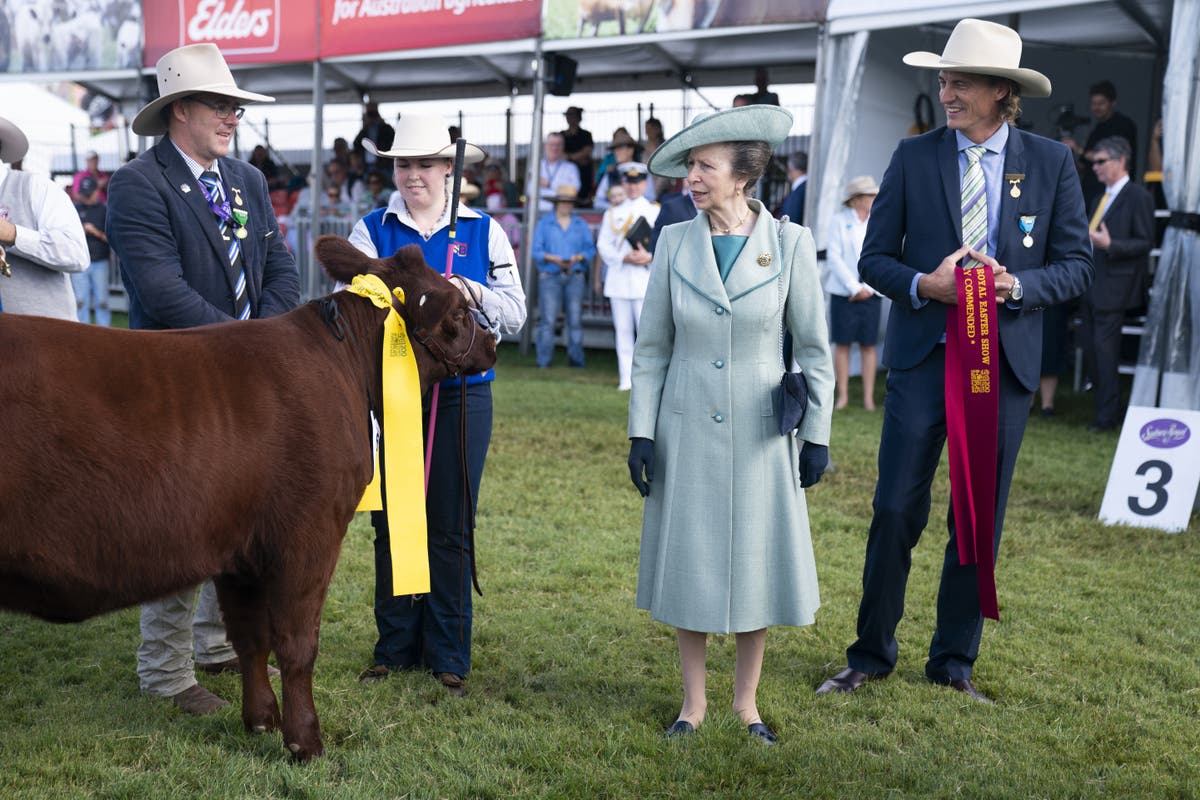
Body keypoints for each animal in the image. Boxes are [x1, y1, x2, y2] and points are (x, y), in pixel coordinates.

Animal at [0, 235, 496, 762]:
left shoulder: (237, 549)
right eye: (460, 309)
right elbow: (297, 643)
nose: (493, 343)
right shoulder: (310, 534)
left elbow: (249, 637)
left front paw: (259, 721)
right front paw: (305, 742)